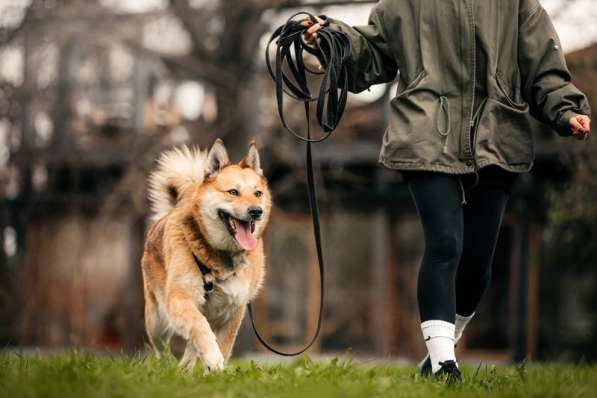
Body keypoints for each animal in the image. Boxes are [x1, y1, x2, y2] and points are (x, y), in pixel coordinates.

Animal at [141, 140, 272, 374]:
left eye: (257, 193)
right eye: (233, 192)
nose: (256, 211)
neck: (219, 258)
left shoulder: (234, 310)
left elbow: (224, 345)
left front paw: (214, 371)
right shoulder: (180, 298)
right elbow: (199, 327)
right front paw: (213, 359)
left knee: (192, 345)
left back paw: (186, 369)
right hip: (157, 321)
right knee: (163, 348)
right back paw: (167, 368)